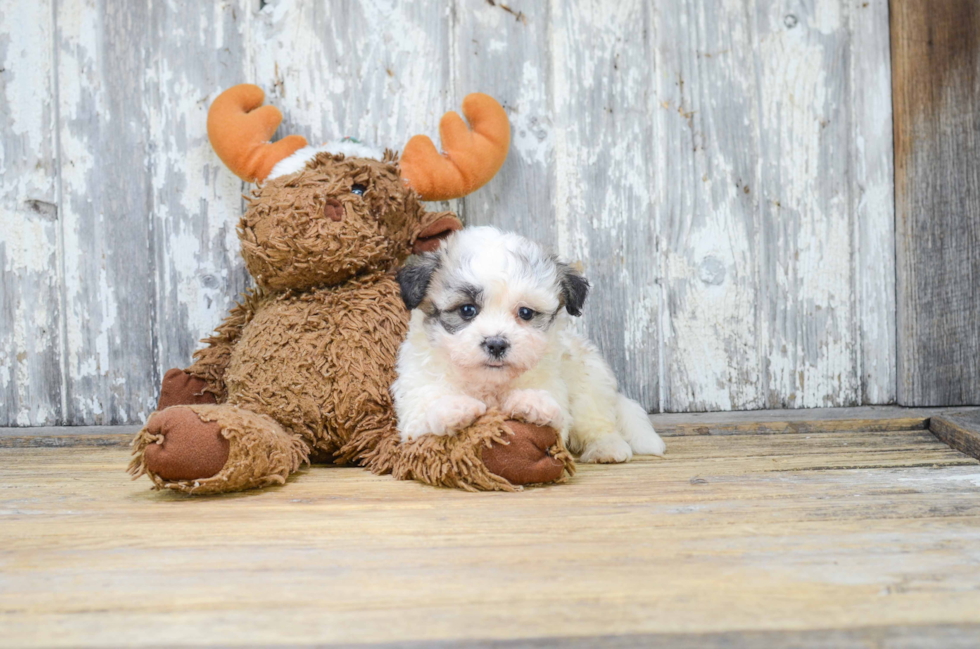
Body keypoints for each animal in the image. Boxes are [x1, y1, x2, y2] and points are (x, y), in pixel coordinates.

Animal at [392, 225, 668, 464]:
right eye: (467, 310)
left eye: (525, 313)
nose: (496, 344)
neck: (489, 384)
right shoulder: (415, 403)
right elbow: (424, 414)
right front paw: (453, 407)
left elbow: (556, 421)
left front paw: (532, 403)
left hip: (589, 386)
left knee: (598, 421)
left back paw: (607, 448)